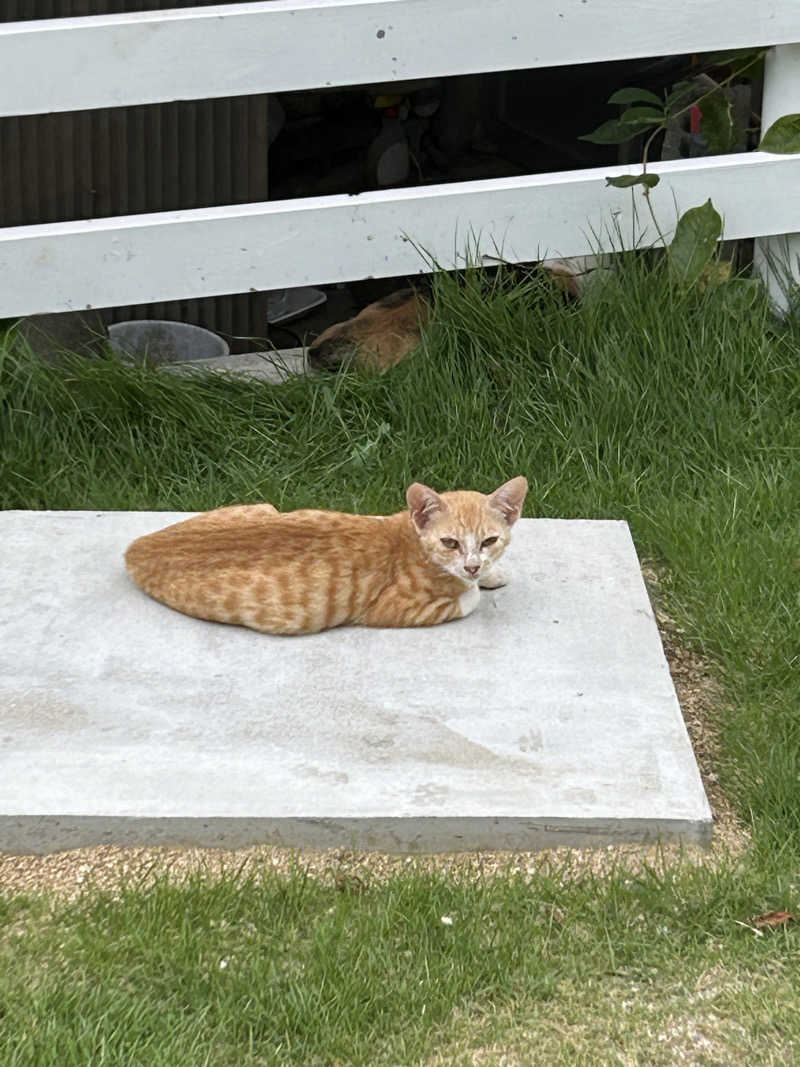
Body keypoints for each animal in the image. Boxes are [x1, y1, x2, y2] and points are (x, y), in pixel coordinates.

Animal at [123, 480, 526, 635]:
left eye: (490, 540)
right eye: (450, 542)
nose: (472, 564)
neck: (408, 536)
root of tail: (135, 548)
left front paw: (490, 573)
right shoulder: (395, 610)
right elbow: (469, 598)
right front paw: (474, 585)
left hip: (264, 506)